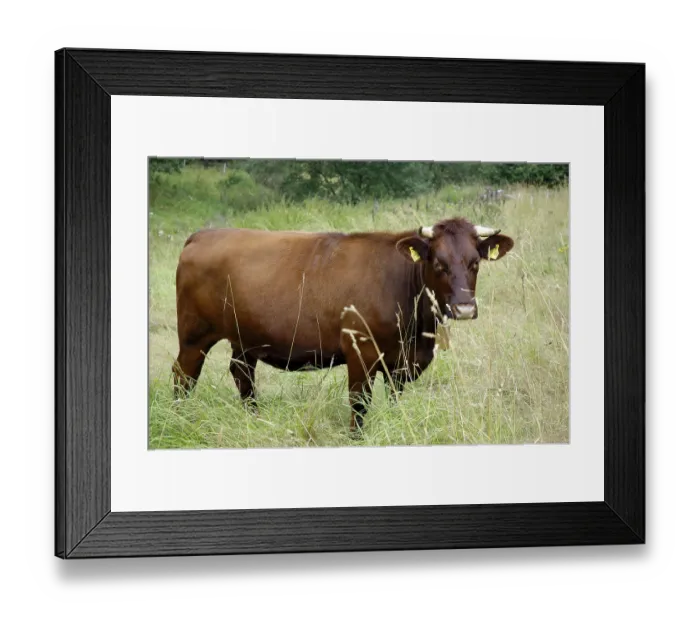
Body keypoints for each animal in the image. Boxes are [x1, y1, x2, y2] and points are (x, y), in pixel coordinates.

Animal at [172, 217, 514, 431]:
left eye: (475, 263)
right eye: (439, 264)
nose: (464, 308)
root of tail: (203, 234)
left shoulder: (402, 363)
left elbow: (394, 401)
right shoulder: (360, 351)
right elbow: (359, 402)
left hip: (245, 338)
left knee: (242, 373)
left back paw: (254, 418)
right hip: (193, 335)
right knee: (183, 376)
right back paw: (180, 418)